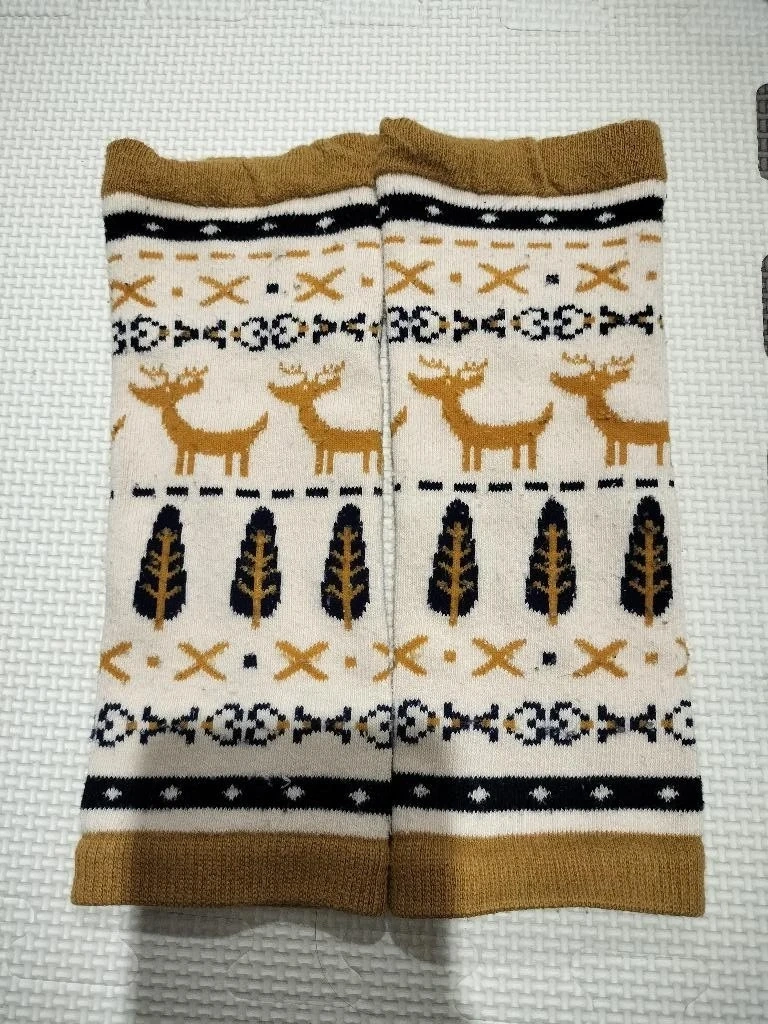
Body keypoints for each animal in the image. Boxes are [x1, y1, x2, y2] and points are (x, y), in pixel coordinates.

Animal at [129, 365, 268, 476]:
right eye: (160, 389)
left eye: (175, 391)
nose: (168, 400)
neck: (182, 426)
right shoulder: (184, 448)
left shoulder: (187, 448)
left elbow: (186, 466)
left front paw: (183, 474)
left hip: (240, 451)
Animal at [267, 361, 407, 475]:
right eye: (296, 388)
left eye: (315, 390)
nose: (293, 397)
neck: (323, 430)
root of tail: (379, 433)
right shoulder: (322, 449)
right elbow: (321, 466)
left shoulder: (329, 449)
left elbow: (326, 467)